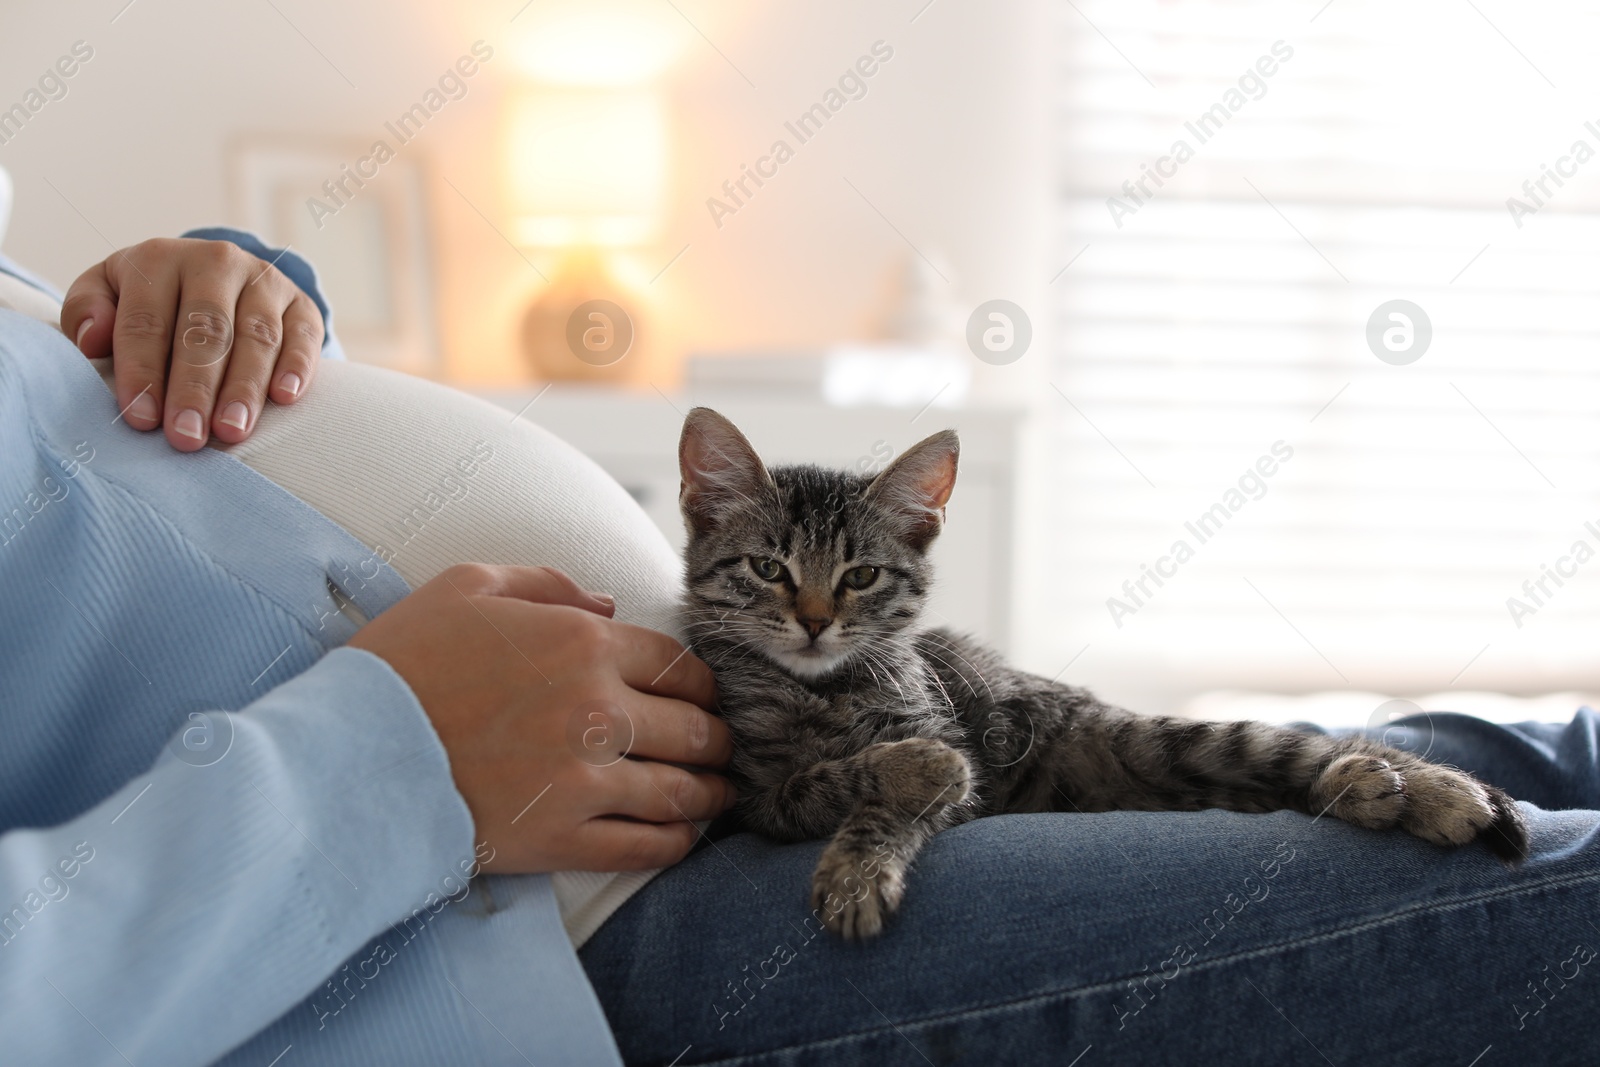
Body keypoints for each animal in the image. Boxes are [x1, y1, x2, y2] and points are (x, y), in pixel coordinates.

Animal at [675, 404, 1523, 940]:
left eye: (861, 576)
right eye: (768, 568)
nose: (816, 620)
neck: (825, 687)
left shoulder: (944, 739)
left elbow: (906, 788)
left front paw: (860, 865)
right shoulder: (757, 797)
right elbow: (834, 779)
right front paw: (893, 790)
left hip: (1161, 740)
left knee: (1288, 747)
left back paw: (1425, 787)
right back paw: (1375, 789)